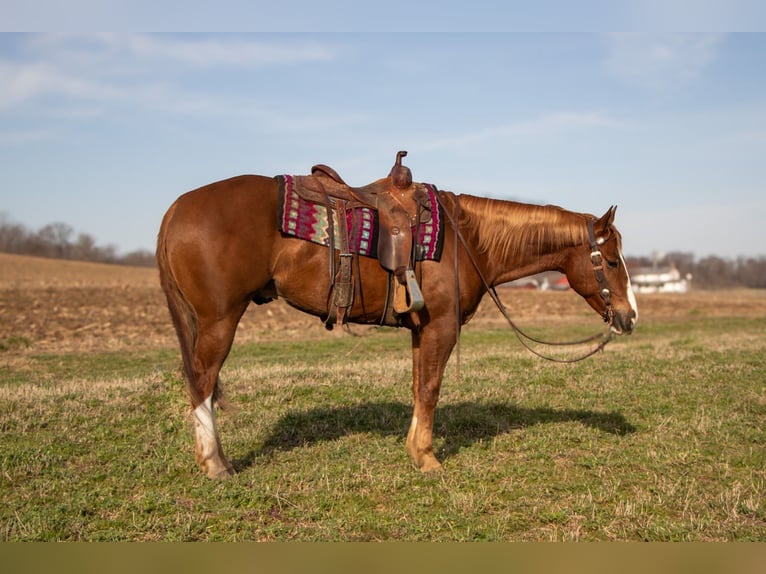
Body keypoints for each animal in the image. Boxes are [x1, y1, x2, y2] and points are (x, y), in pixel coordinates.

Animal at [154, 158, 636, 482]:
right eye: (611, 261)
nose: (630, 316)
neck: (467, 236)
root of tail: (177, 207)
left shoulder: (422, 330)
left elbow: (418, 386)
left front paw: (415, 450)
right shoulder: (441, 326)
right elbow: (431, 388)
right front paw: (427, 458)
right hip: (219, 320)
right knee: (202, 381)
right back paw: (215, 464)